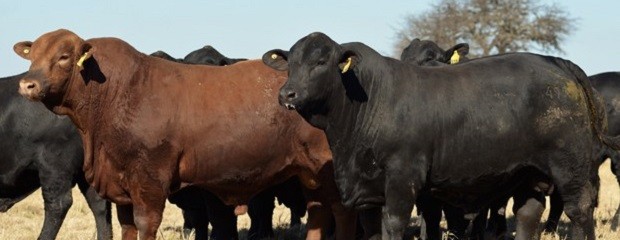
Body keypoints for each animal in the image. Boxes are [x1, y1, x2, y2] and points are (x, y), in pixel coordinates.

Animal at [262, 31, 620, 240]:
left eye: (321, 61)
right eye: (291, 62)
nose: (287, 94)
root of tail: (557, 63)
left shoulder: (403, 181)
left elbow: (394, 224)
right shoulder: (367, 193)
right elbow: (374, 228)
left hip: (570, 168)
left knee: (579, 211)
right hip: (528, 175)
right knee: (528, 215)